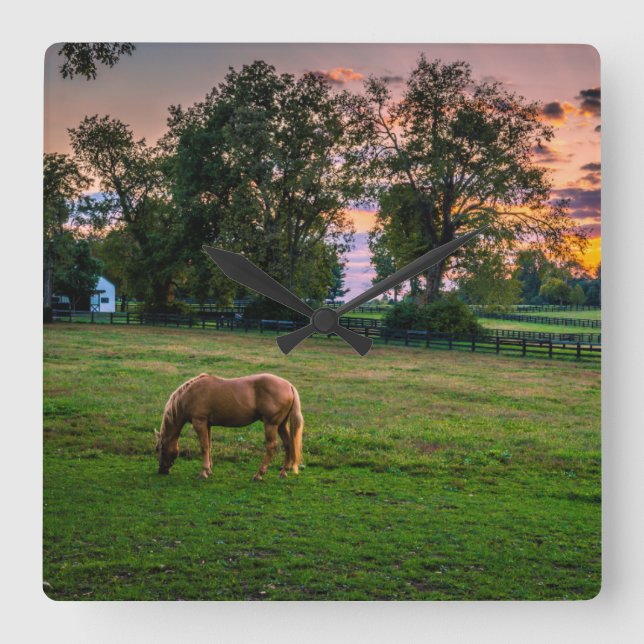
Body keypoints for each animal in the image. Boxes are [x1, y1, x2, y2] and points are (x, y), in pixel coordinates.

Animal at [154, 373, 303, 481]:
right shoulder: (207, 424)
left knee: (271, 447)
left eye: (159, 448)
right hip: (281, 425)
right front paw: (209, 470)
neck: (189, 395)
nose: (161, 470)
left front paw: (203, 472)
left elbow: (204, 447)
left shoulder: (199, 422)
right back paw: (283, 472)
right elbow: (209, 446)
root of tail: (289, 385)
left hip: (271, 425)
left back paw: (259, 474)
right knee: (288, 444)